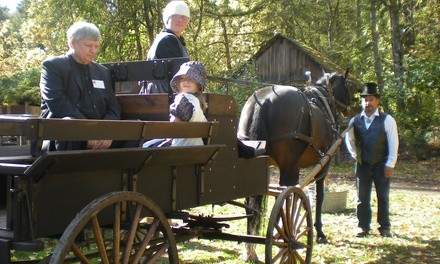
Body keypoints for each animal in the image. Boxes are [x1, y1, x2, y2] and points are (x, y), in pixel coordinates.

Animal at [237, 69, 354, 244]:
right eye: (347, 87)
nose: (348, 110)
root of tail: (264, 101)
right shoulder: (323, 164)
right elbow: (318, 196)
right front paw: (319, 232)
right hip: (289, 169)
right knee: (284, 198)